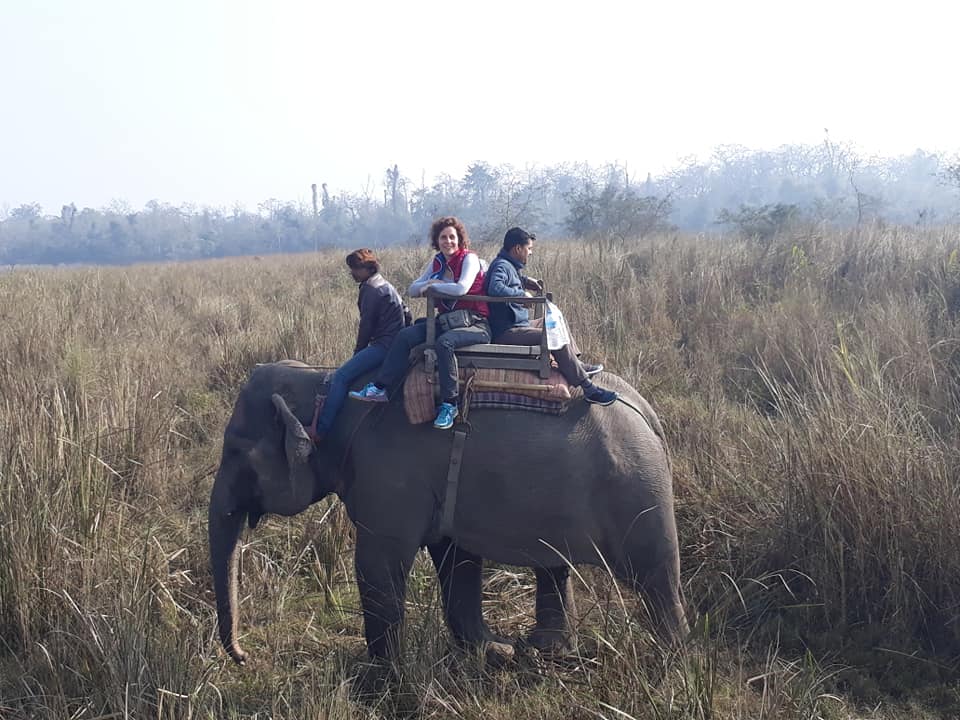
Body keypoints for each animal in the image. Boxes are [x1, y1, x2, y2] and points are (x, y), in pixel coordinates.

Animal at [208, 360, 686, 665]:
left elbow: (379, 564)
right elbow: (456, 560)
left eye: (235, 452)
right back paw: (543, 651)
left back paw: (669, 662)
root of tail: (649, 414)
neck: (324, 380)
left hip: (637, 490)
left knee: (655, 576)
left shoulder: (389, 475)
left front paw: (382, 682)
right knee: (556, 565)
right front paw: (494, 652)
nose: (245, 657)